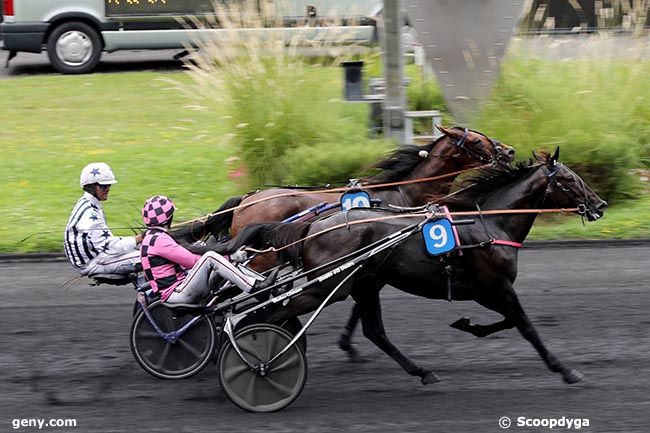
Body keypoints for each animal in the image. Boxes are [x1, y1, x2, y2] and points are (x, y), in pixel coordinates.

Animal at [224, 149, 608, 384]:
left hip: (361, 283)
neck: (490, 224)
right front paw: (565, 370)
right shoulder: (496, 287)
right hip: (328, 286)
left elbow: (508, 323)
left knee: (374, 332)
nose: (600, 205)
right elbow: (526, 327)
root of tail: (312, 226)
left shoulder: (488, 291)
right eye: (569, 179)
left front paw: (467, 325)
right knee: (270, 313)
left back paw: (422, 371)